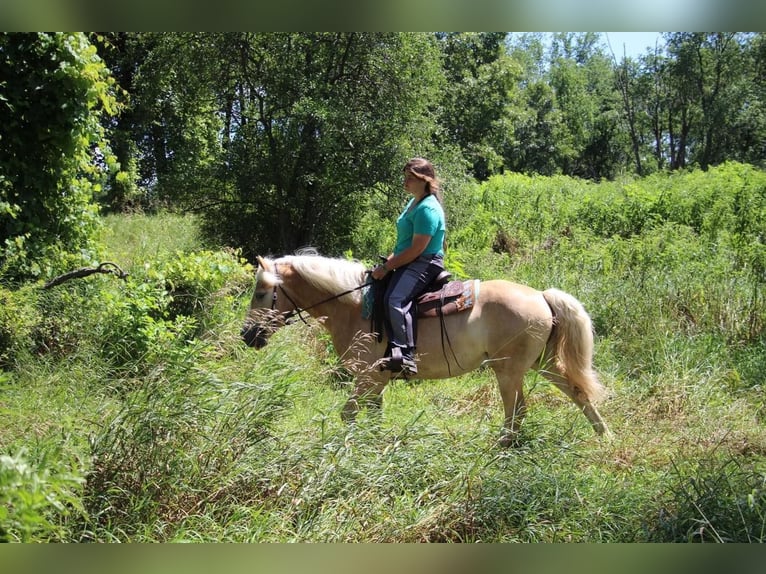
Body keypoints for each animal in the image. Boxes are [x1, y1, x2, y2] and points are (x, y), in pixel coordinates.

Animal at [243, 252, 616, 446]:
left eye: (261, 293)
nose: (248, 336)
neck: (353, 306)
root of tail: (541, 295)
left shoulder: (366, 378)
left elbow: (347, 414)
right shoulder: (376, 381)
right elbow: (373, 417)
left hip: (508, 370)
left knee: (517, 412)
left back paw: (500, 447)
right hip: (542, 363)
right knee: (578, 393)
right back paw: (604, 435)